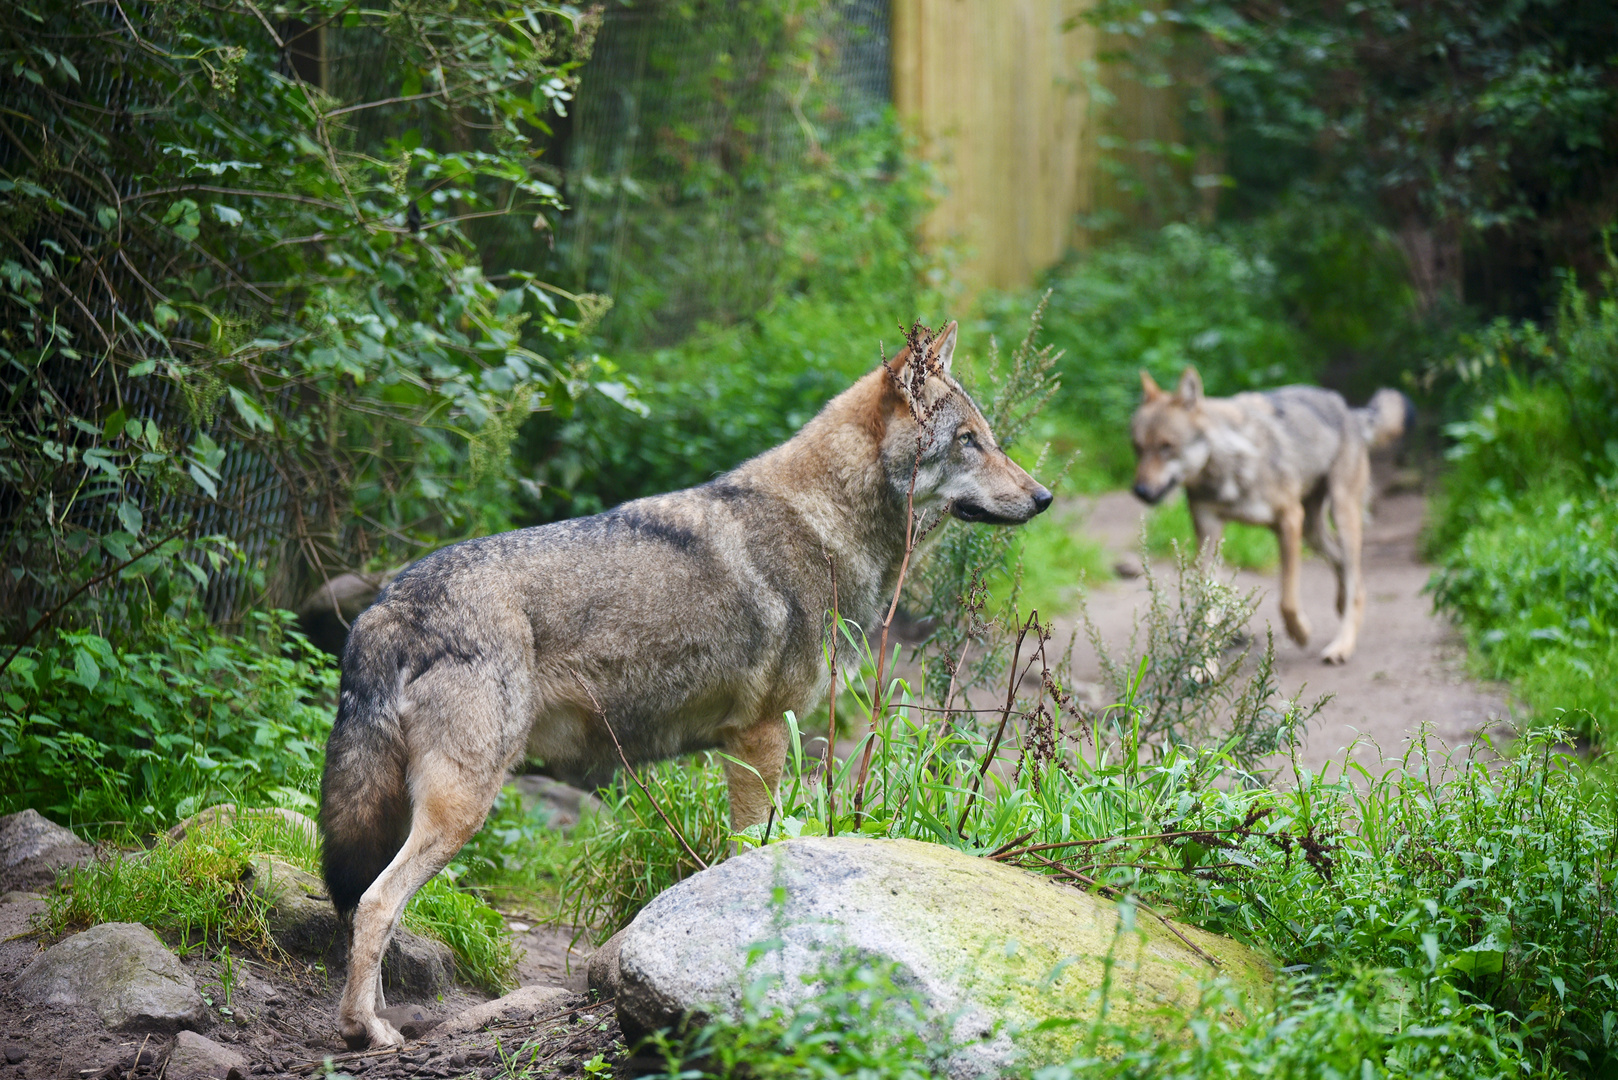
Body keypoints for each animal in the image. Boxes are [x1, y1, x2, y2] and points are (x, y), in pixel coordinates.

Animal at [318, 320, 1048, 1049]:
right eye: (969, 440)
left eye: (988, 436)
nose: (1042, 497)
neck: (824, 524)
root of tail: (388, 606)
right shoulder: (761, 739)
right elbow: (751, 852)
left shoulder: (740, 746)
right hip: (463, 804)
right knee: (377, 902)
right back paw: (365, 1029)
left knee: (364, 903)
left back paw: (379, 1019)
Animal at [1132, 367, 1410, 663]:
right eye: (1137, 448)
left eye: (1166, 446)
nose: (1139, 491)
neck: (1229, 463)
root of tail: (1348, 409)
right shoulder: (1209, 533)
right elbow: (1205, 610)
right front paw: (1202, 667)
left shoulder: (1289, 520)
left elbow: (1287, 600)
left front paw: (1301, 632)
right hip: (1312, 532)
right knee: (1345, 569)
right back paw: (1340, 601)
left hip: (1340, 514)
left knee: (1353, 578)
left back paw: (1341, 646)